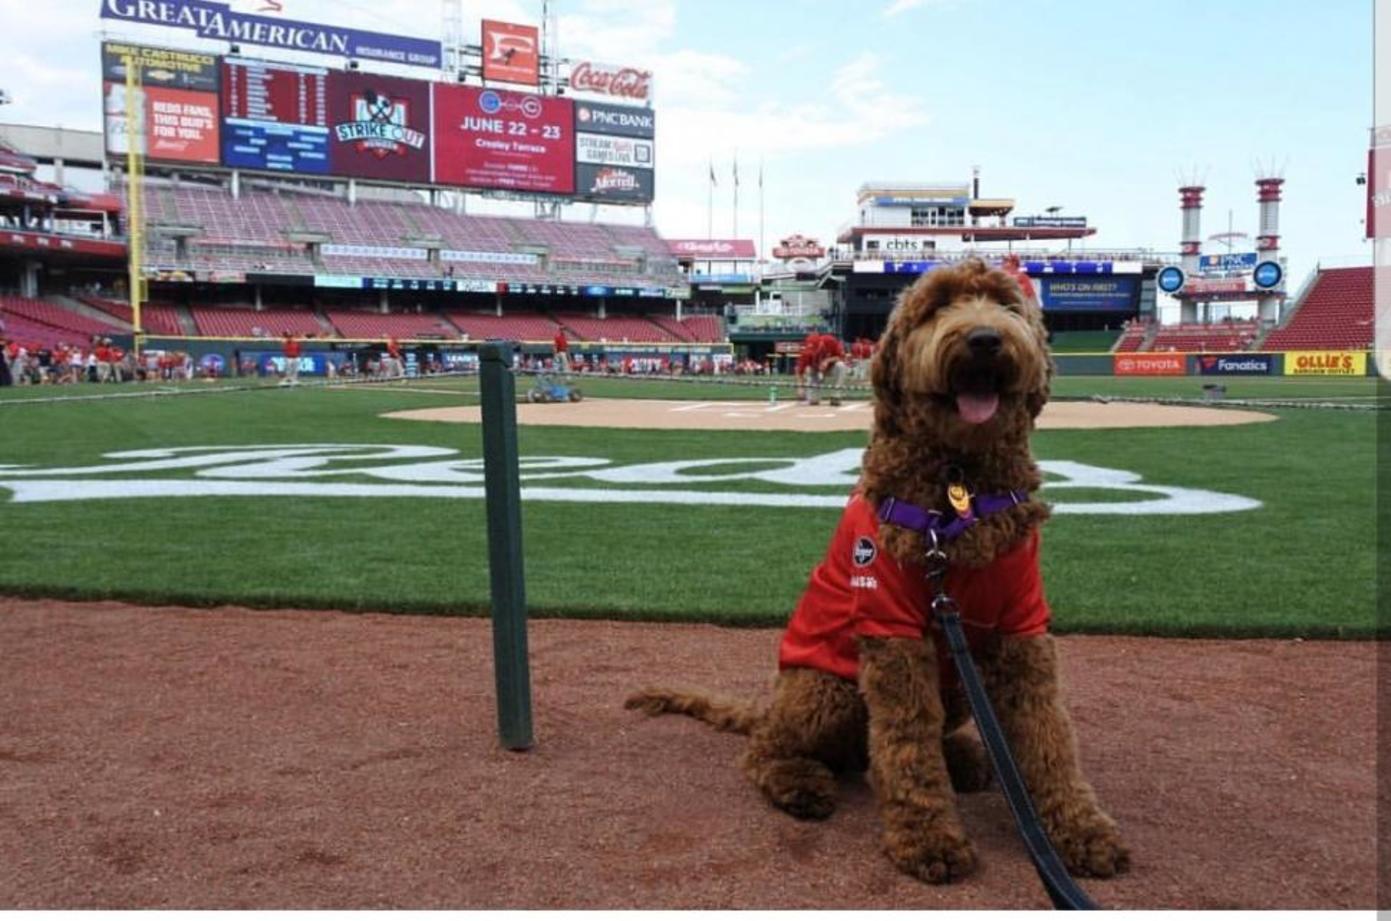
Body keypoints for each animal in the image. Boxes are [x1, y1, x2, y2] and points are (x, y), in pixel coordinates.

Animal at [631, 257, 1129, 890]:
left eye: (1008, 306)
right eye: (937, 307)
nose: (984, 339)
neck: (959, 487)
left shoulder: (1023, 628)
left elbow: (1049, 739)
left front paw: (1080, 831)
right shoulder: (892, 633)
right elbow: (907, 744)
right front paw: (928, 837)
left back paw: (967, 757)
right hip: (828, 688)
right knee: (776, 751)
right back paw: (799, 781)